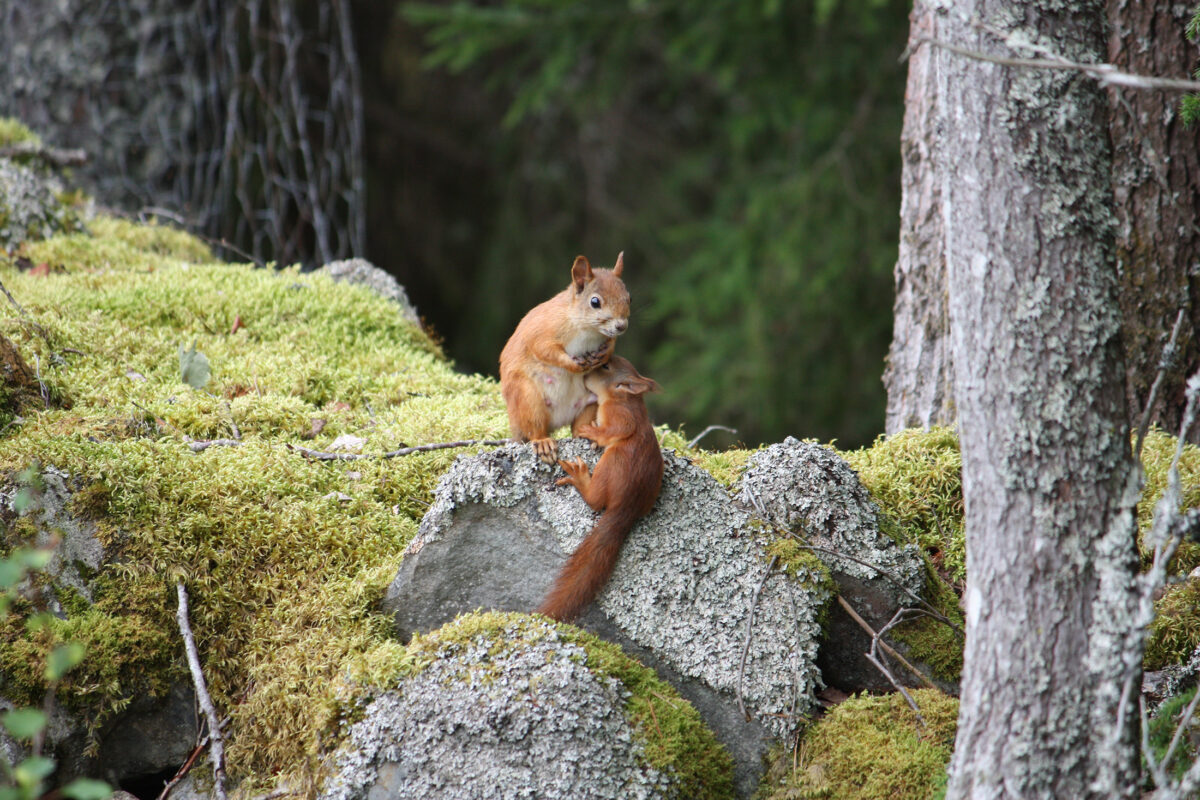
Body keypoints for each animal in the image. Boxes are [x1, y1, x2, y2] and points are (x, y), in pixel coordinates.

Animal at [496, 250, 633, 462]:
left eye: (629, 297)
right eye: (595, 302)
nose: (621, 326)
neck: (588, 330)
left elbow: (610, 344)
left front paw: (604, 353)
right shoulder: (543, 331)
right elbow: (544, 349)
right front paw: (573, 365)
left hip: (592, 401)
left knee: (579, 428)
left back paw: (590, 438)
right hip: (527, 398)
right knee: (535, 427)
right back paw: (543, 442)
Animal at [537, 357, 667, 623]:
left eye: (606, 368)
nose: (585, 372)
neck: (624, 398)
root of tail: (626, 507)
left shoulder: (621, 416)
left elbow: (617, 430)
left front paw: (590, 430)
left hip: (612, 463)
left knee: (595, 500)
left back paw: (580, 478)